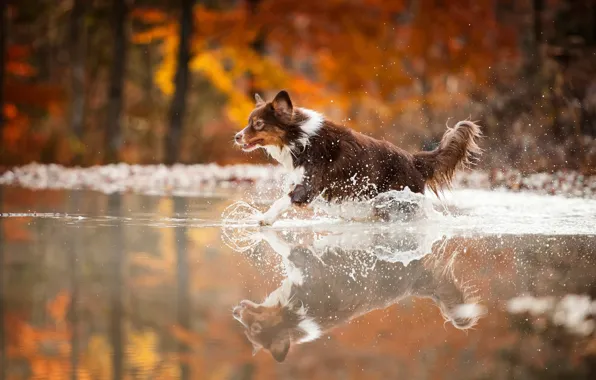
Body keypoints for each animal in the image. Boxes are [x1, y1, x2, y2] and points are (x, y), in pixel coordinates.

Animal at [232, 229, 484, 362]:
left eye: (255, 329)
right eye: (248, 333)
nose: (234, 311)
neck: (292, 317)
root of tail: (414, 285)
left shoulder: (302, 259)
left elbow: (278, 242)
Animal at [235, 90, 482, 224]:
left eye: (258, 124)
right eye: (249, 122)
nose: (237, 137)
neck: (300, 136)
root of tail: (414, 160)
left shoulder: (309, 186)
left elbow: (282, 200)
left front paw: (265, 218)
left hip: (400, 201)